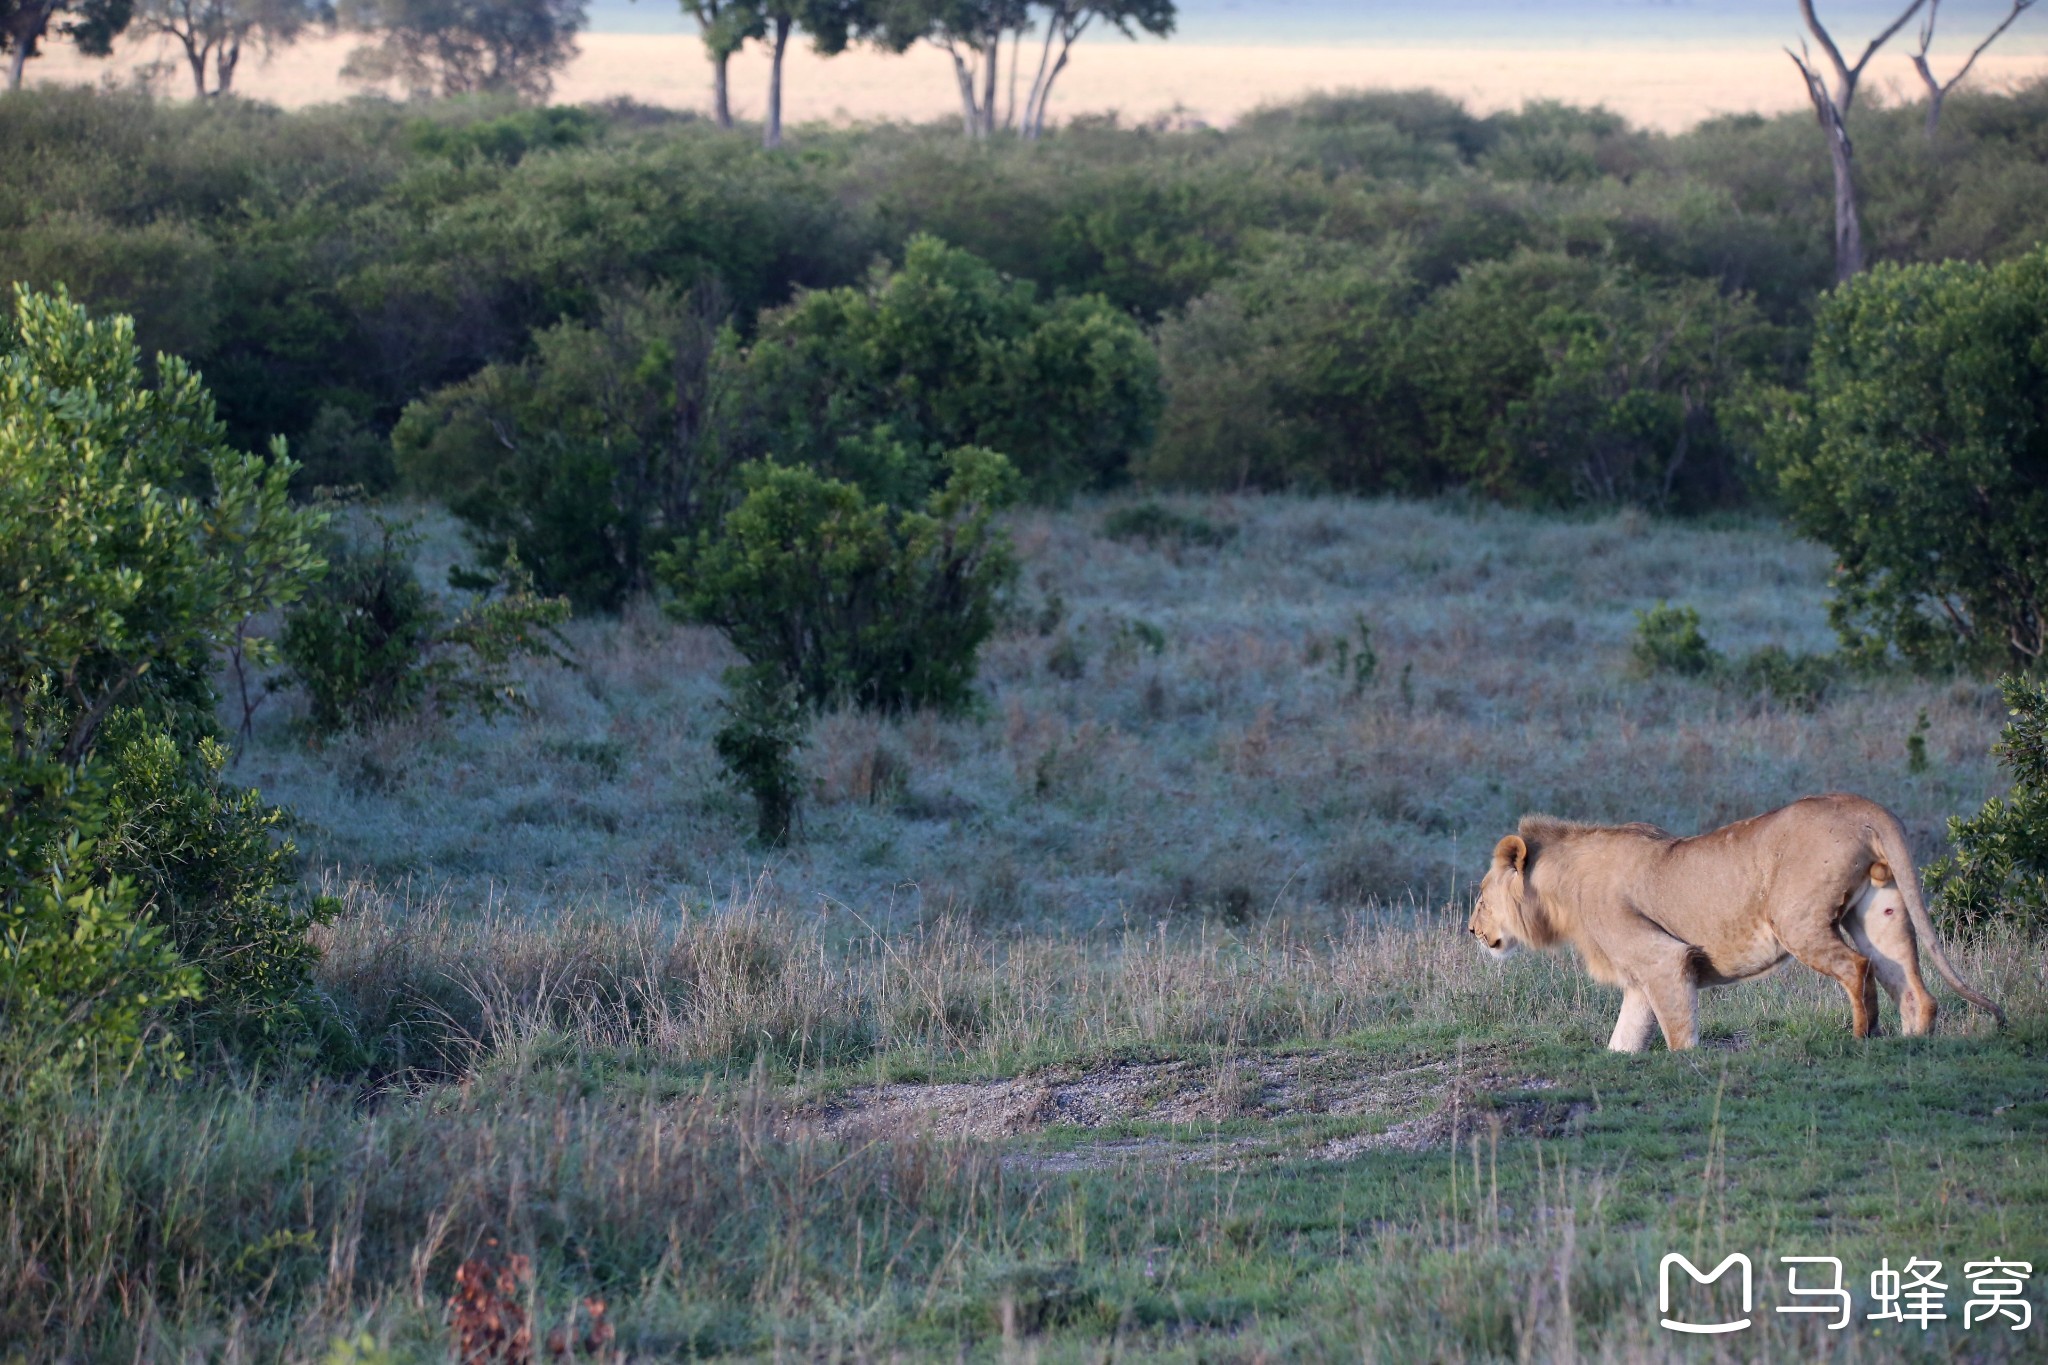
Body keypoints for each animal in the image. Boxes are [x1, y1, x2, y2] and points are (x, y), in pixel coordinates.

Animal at [1466, 794, 2007, 1055]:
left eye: (1480, 897)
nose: (1472, 932)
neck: (1558, 895)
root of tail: (1860, 805)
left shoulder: (1663, 959)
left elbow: (1678, 1031)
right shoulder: (1642, 977)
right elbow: (1625, 1036)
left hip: (1797, 919)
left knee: (1856, 969)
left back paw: (1861, 1038)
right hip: (1879, 912)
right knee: (1913, 987)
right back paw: (1912, 1041)